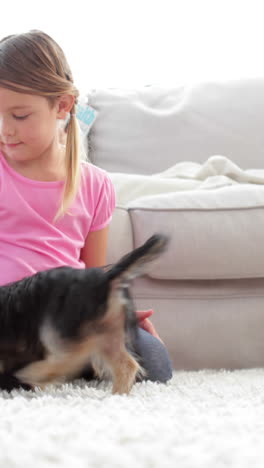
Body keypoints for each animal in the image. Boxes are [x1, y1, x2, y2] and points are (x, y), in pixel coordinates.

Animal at [0, 234, 169, 394]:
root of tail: (106, 279)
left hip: (61, 330)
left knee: (72, 357)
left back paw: (34, 374)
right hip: (109, 332)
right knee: (126, 365)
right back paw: (117, 395)